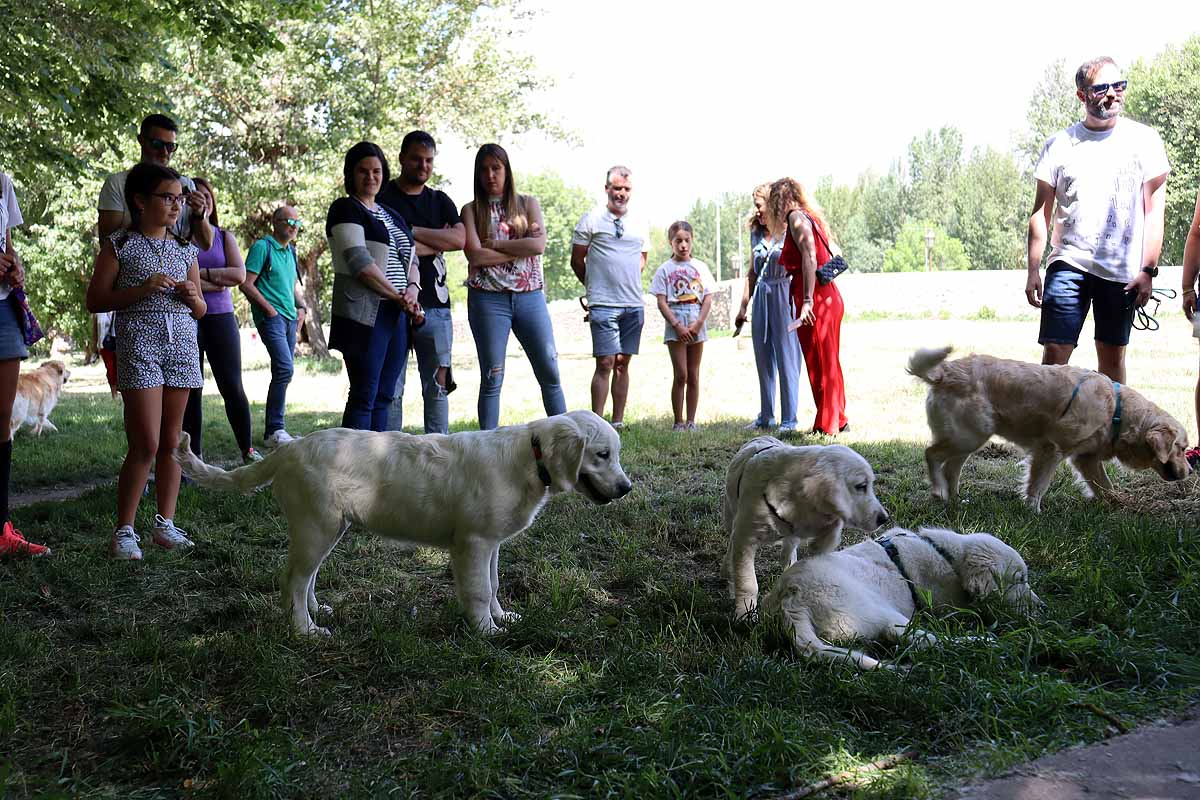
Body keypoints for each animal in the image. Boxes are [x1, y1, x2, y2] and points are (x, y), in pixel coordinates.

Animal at [176, 410, 633, 633]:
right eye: (602, 455)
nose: (627, 488)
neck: (529, 457)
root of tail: (289, 449)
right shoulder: (473, 542)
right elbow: (480, 590)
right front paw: (486, 632)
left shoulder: (491, 544)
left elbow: (494, 583)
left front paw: (503, 619)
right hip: (315, 526)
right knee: (292, 580)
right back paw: (304, 629)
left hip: (328, 528)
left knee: (305, 578)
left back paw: (316, 610)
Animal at [720, 438, 892, 618]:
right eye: (861, 486)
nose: (884, 518)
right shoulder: (745, 537)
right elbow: (747, 581)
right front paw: (745, 614)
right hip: (730, 514)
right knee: (731, 542)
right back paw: (727, 569)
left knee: (789, 547)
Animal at [768, 527, 1041, 671]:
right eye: (1020, 579)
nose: (1043, 607)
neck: (946, 557)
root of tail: (790, 598)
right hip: (876, 609)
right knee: (920, 638)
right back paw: (981, 641)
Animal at [907, 345, 1190, 513]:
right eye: (1182, 448)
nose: (1191, 470)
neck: (1116, 411)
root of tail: (943, 371)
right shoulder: (1051, 449)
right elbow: (1038, 485)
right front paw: (1033, 511)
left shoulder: (1085, 458)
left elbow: (1104, 485)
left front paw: (1117, 503)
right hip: (969, 436)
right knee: (931, 454)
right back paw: (938, 490)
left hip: (971, 438)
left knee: (951, 468)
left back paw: (955, 500)